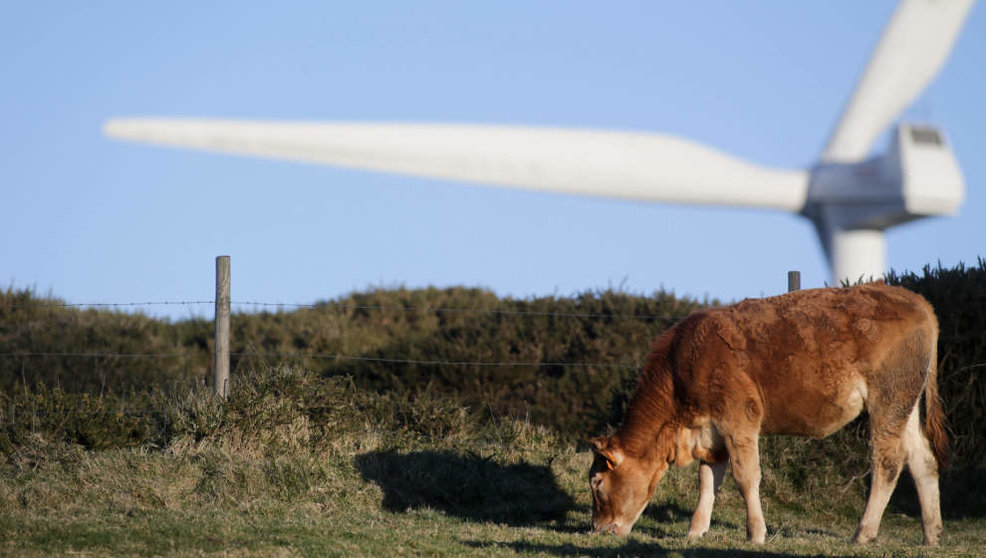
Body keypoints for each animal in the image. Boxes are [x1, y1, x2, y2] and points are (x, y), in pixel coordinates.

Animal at [588, 284, 948, 548]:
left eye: (597, 482)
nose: (597, 529)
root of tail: (914, 299)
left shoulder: (738, 419)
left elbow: (746, 477)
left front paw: (756, 533)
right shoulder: (712, 432)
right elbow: (707, 481)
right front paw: (696, 531)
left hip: (887, 398)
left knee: (888, 461)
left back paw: (863, 532)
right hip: (906, 404)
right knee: (922, 459)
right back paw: (931, 535)